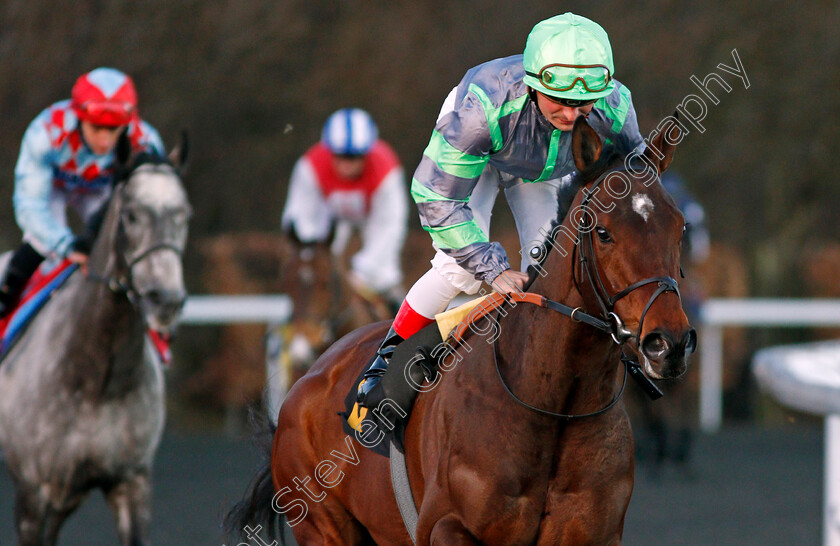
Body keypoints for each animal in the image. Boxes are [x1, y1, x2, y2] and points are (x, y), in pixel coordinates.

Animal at [0, 135, 190, 544]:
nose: (165, 300)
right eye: (131, 214)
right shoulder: (32, 494)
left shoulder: (131, 483)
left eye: (184, 214)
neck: (96, 378)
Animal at [230, 113, 696, 540]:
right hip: (322, 524)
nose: (668, 343)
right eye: (602, 231)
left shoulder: (595, 532)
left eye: (680, 226)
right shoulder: (445, 525)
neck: (553, 401)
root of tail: (306, 383)